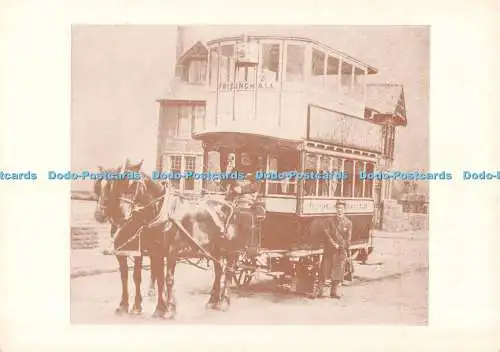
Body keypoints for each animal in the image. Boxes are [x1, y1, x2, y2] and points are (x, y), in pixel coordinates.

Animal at [94, 166, 247, 320]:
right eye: (98, 186)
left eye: (132, 186)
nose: (99, 215)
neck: (161, 213)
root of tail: (231, 205)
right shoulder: (151, 251)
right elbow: (154, 278)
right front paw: (157, 308)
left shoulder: (169, 251)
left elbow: (166, 279)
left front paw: (168, 309)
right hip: (214, 249)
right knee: (218, 271)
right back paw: (212, 301)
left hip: (230, 249)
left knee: (229, 271)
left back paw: (224, 302)